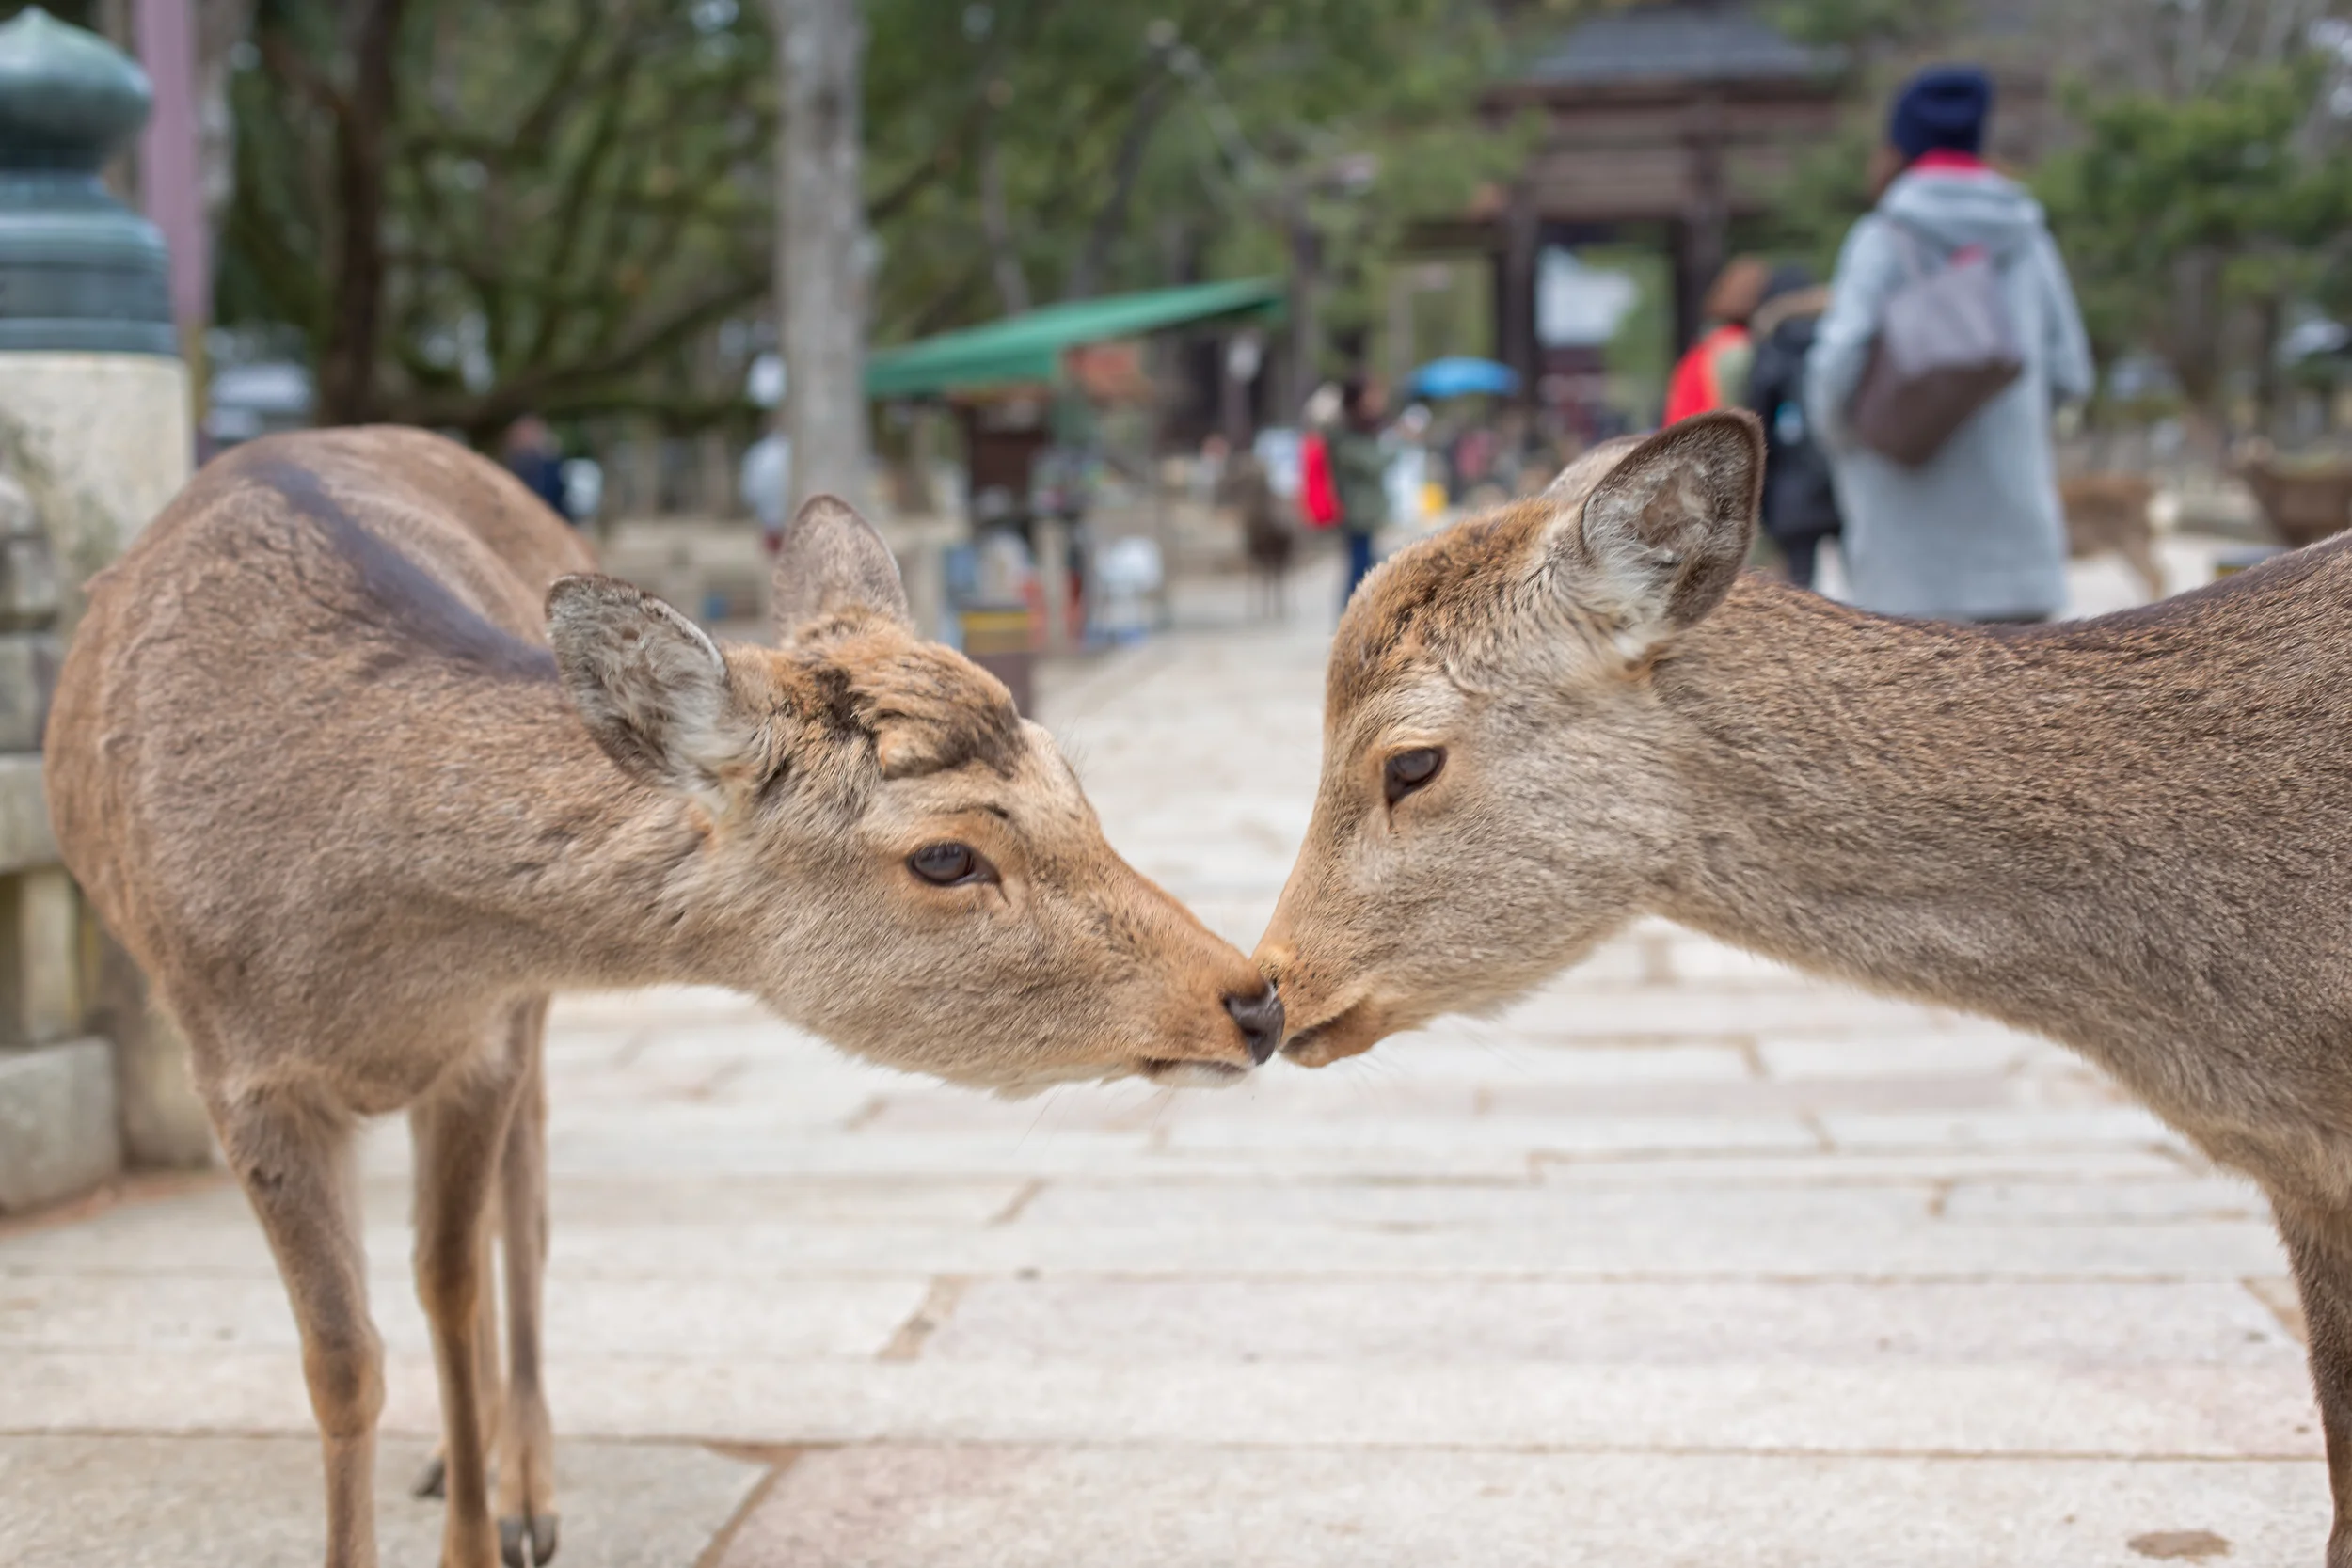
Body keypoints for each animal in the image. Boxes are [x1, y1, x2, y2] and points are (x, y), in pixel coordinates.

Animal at [44, 425, 1282, 1568]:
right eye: (945, 856)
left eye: (1076, 785)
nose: (1255, 997)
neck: (363, 959)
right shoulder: (235, 1069)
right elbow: (341, 1358)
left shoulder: (488, 1028)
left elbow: (450, 1281)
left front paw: (484, 1531)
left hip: (530, 1028)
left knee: (523, 1212)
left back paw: (520, 1484)